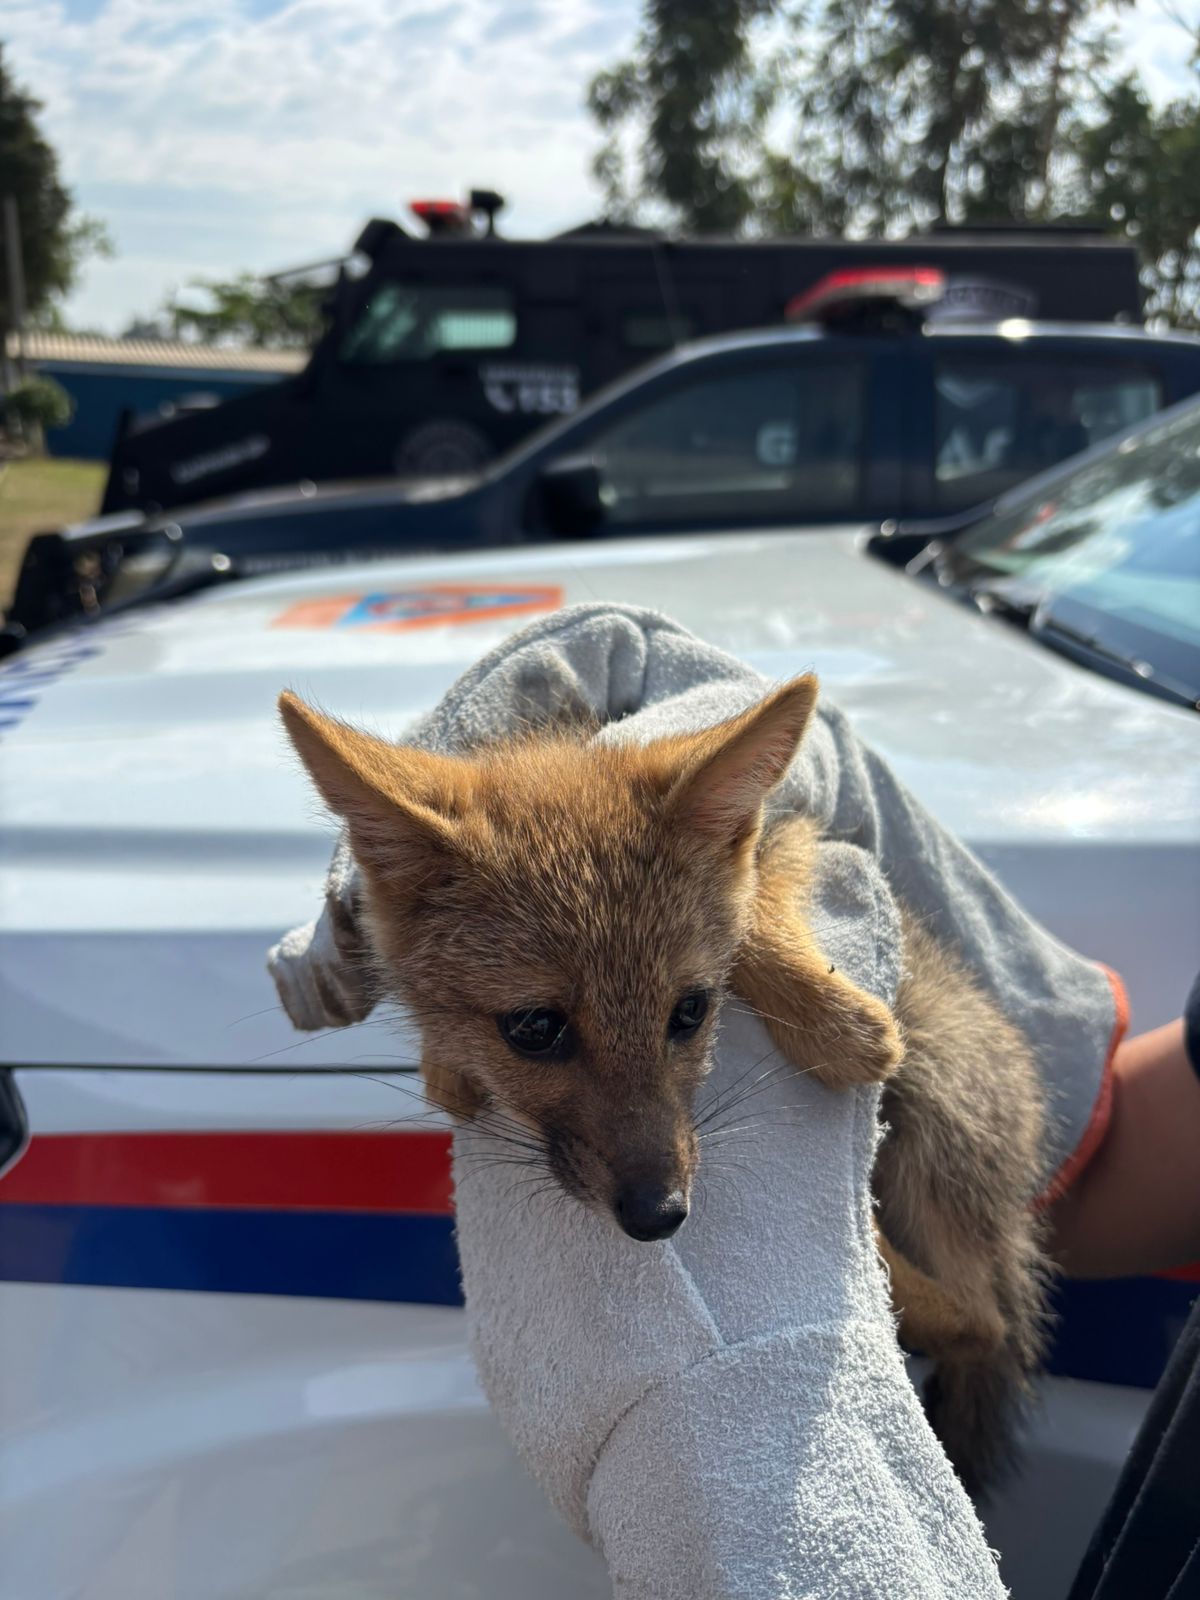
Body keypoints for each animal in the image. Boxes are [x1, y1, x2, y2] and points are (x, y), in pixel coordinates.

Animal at [279, 674, 1049, 1496]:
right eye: (534, 1028)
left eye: (691, 1011)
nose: (662, 1216)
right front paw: (446, 1063)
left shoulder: (799, 827)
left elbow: (754, 903)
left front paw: (834, 1020)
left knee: (984, 1321)